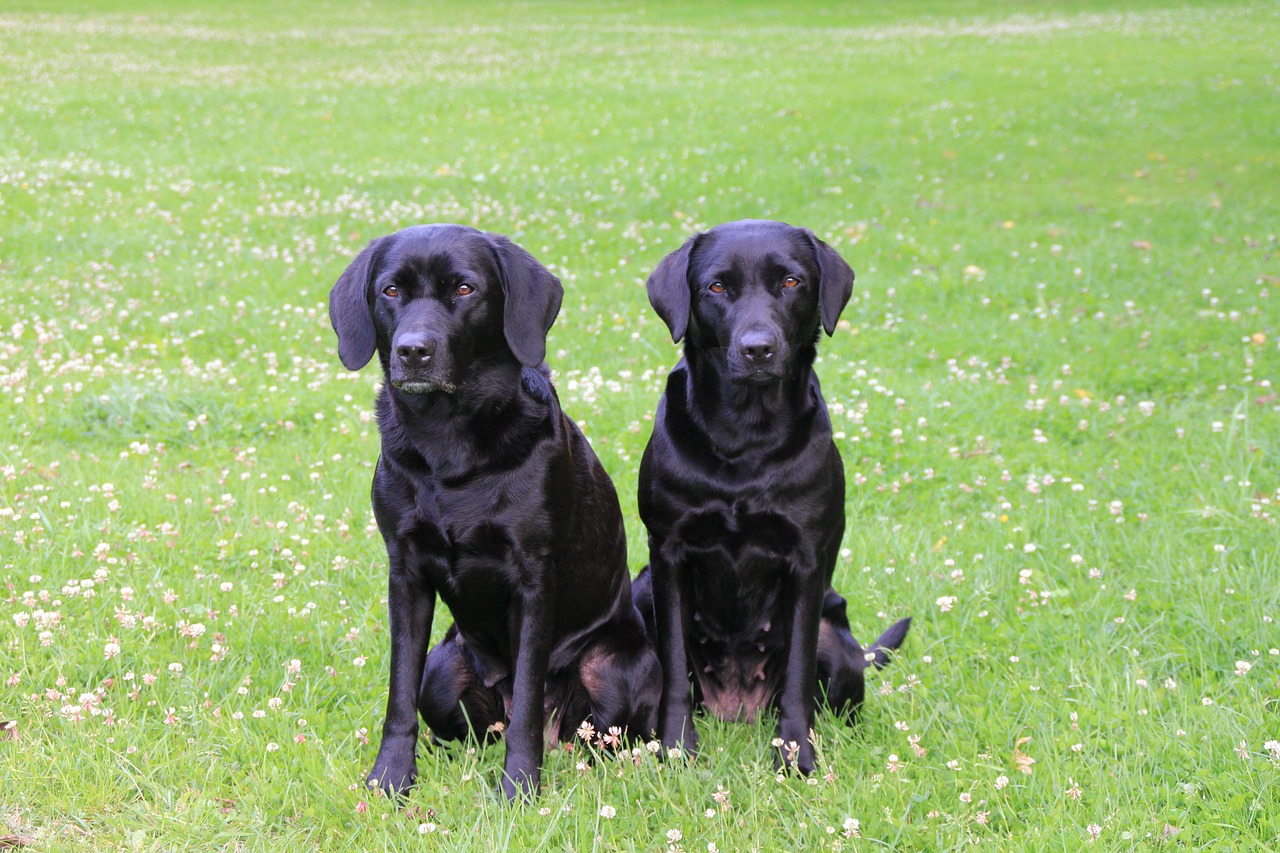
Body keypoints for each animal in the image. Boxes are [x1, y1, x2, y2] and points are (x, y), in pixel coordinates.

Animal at [330, 224, 660, 799]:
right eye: (390, 291)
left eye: (465, 289)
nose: (412, 351)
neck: (449, 444)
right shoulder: (406, 573)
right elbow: (399, 694)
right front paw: (390, 777)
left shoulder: (533, 579)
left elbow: (527, 698)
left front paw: (520, 787)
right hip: (444, 668)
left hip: (610, 667)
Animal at [629, 217, 911, 768]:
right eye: (717, 287)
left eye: (791, 281)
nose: (757, 348)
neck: (746, 437)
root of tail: (736, 707)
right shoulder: (667, 552)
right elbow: (672, 663)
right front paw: (676, 747)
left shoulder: (806, 561)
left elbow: (799, 673)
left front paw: (796, 757)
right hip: (641, 591)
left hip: (836, 639)